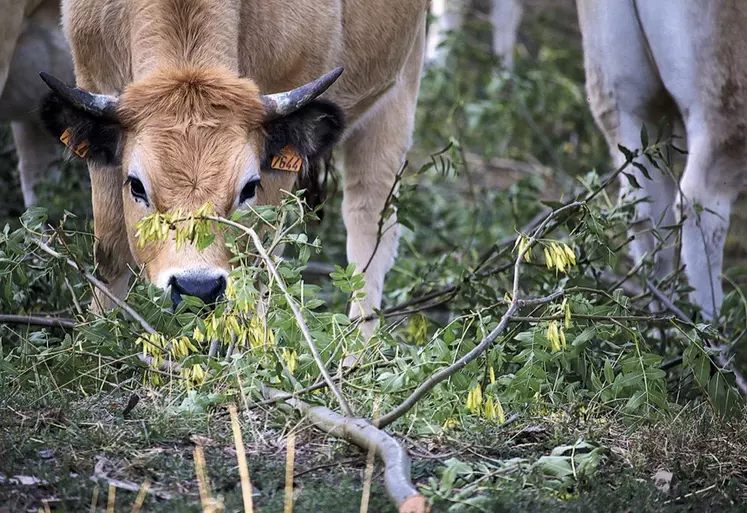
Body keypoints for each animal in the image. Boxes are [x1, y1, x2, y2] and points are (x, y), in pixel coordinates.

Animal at [39, 0, 426, 336]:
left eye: (248, 187)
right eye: (136, 185)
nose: (197, 287)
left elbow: (258, 262)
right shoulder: (93, 88)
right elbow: (110, 253)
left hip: (395, 98)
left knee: (368, 226)